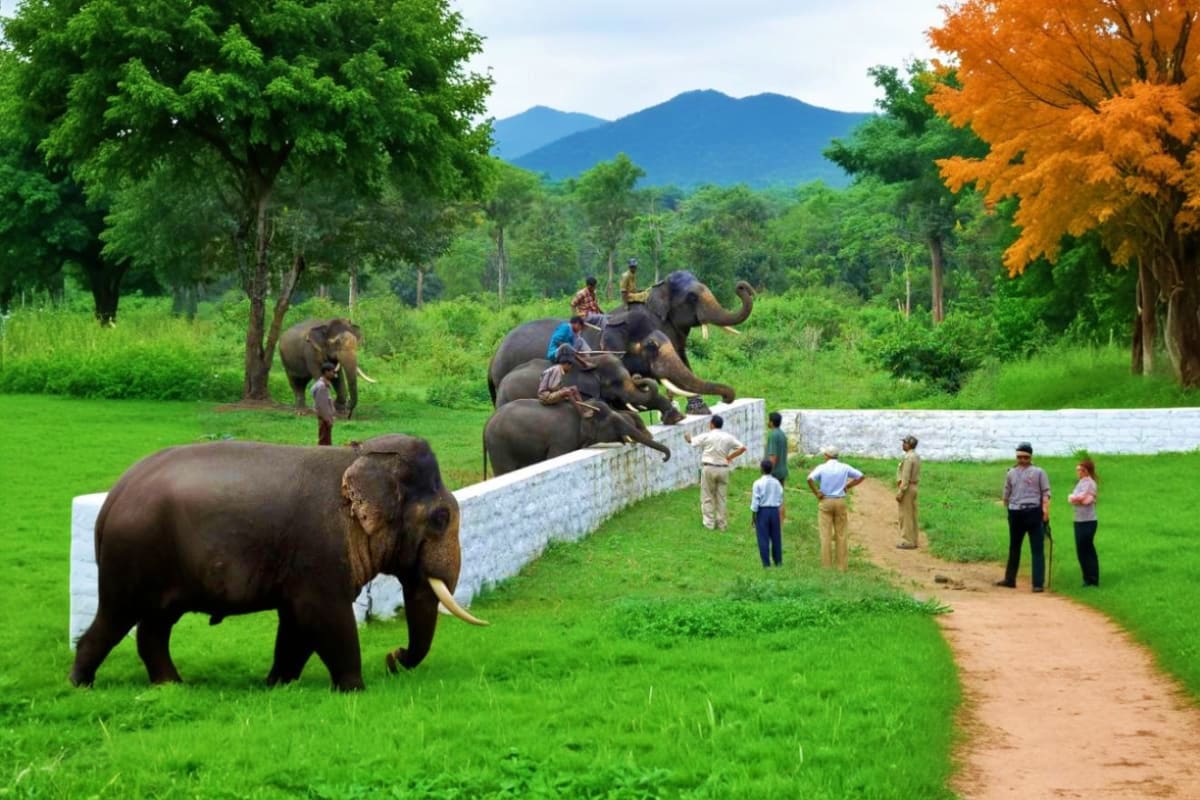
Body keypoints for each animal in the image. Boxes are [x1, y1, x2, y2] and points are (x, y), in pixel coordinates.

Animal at [68, 434, 486, 692]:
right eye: (440, 518)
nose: (393, 657)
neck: (356, 455)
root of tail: (113, 498)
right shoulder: (319, 551)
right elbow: (325, 617)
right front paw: (355, 689)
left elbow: (296, 625)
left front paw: (276, 685)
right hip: (131, 556)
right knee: (115, 618)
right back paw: (81, 685)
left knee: (153, 627)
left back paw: (172, 685)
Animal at [483, 399, 671, 477]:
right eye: (614, 422)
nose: (663, 459)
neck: (584, 408)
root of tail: (486, 425)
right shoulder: (562, 439)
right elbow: (554, 457)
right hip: (500, 445)